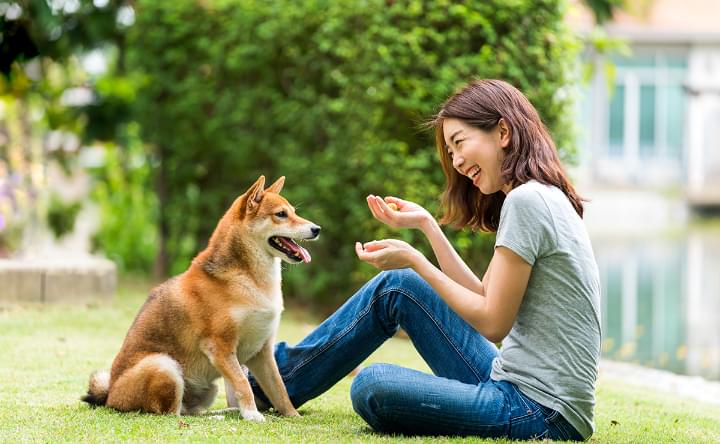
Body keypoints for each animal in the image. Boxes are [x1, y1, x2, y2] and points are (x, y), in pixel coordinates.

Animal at [81, 175, 320, 422]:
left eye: (293, 212)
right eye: (281, 214)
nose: (317, 229)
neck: (247, 278)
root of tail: (111, 396)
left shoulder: (261, 352)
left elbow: (279, 390)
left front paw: (293, 416)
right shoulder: (220, 347)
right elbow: (243, 385)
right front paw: (253, 415)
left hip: (206, 388)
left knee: (190, 411)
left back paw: (225, 412)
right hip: (165, 366)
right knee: (172, 414)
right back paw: (217, 417)